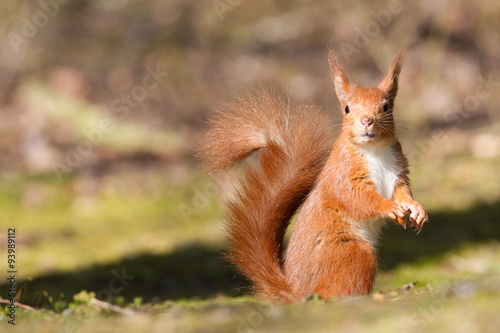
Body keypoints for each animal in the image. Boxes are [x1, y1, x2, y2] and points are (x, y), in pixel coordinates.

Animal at [197, 48, 428, 300]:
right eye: (347, 108)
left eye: (386, 106)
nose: (367, 121)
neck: (373, 149)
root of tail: (295, 291)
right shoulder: (342, 173)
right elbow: (355, 198)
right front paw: (389, 208)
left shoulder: (397, 171)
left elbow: (402, 192)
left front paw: (416, 209)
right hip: (354, 253)